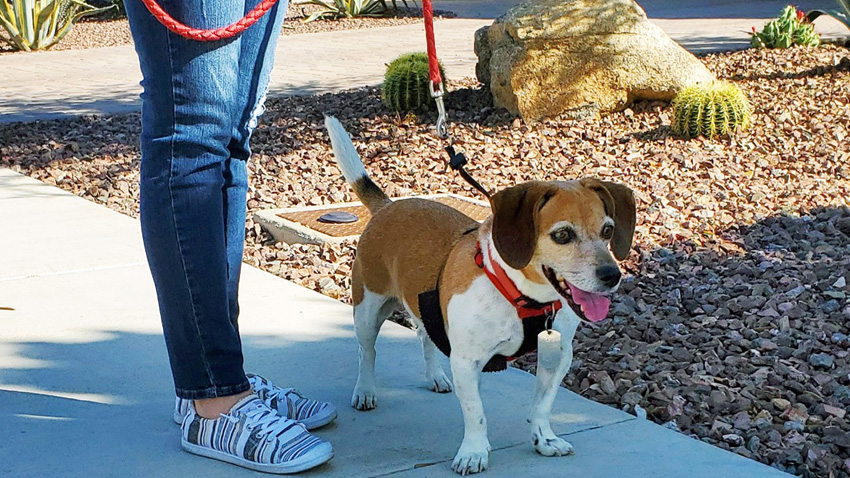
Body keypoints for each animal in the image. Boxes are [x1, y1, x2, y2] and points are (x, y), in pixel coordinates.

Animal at [324, 116, 636, 474]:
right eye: (562, 235)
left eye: (608, 231)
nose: (612, 276)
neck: (520, 297)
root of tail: (388, 207)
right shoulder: (467, 360)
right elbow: (477, 414)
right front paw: (473, 452)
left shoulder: (558, 354)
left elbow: (542, 405)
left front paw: (544, 439)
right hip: (368, 309)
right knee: (367, 352)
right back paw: (365, 391)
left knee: (425, 336)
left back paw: (436, 377)